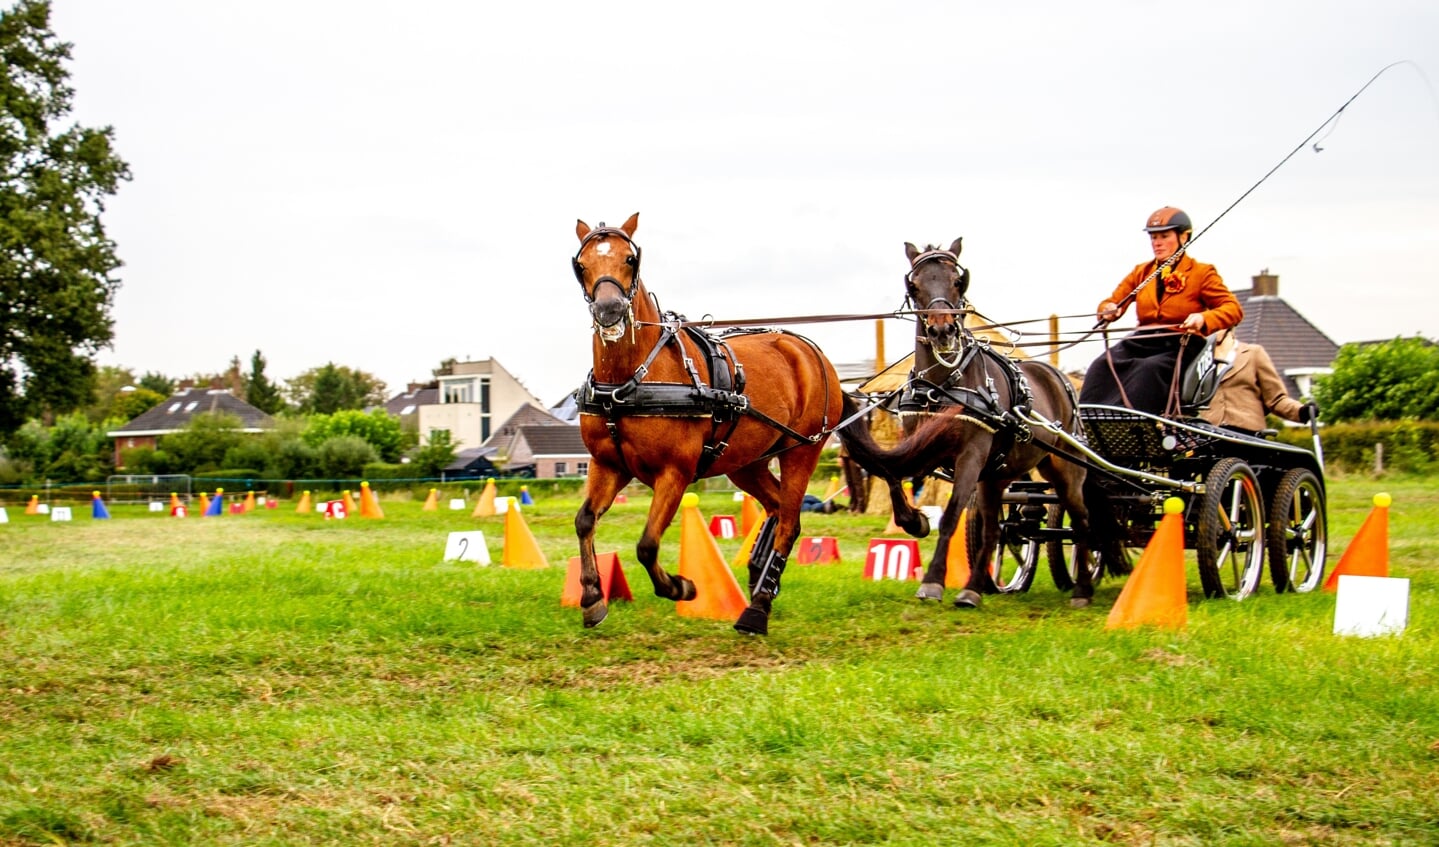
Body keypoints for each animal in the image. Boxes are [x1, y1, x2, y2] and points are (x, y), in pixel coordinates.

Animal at [569, 212, 840, 632]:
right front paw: (592, 597)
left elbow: (647, 545)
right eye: (581, 265)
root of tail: (809, 350)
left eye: (630, 259)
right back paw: (759, 575)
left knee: (790, 522)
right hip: (746, 462)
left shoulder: (675, 472)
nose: (609, 310)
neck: (630, 380)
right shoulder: (608, 465)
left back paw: (758, 607)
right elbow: (584, 521)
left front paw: (681, 587)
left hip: (803, 450)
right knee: (777, 507)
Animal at [840, 240, 1093, 606]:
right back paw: (973, 588)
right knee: (993, 529)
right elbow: (891, 474)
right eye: (914, 285)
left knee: (1083, 520)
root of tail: (1060, 378)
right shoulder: (919, 443)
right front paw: (915, 522)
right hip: (996, 477)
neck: (944, 384)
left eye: (958, 282)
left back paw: (1083, 587)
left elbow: (951, 514)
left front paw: (932, 580)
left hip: (1065, 471)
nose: (942, 331)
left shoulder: (970, 455)